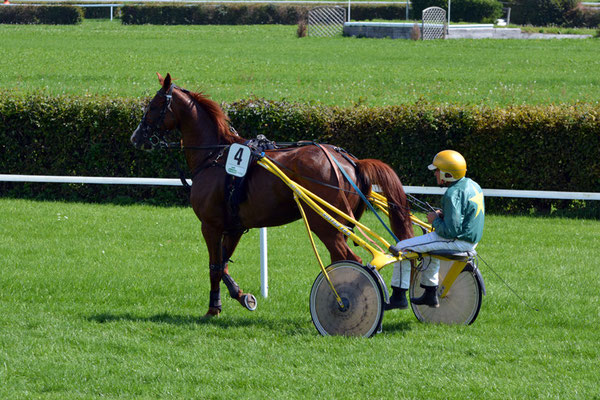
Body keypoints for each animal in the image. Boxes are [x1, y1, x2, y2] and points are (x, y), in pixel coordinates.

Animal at [131, 73, 412, 318]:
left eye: (153, 105)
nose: (136, 137)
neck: (214, 156)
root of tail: (349, 162)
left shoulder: (210, 225)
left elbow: (214, 267)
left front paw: (214, 307)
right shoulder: (234, 227)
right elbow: (223, 264)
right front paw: (241, 296)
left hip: (323, 223)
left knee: (350, 260)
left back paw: (344, 302)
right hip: (338, 225)